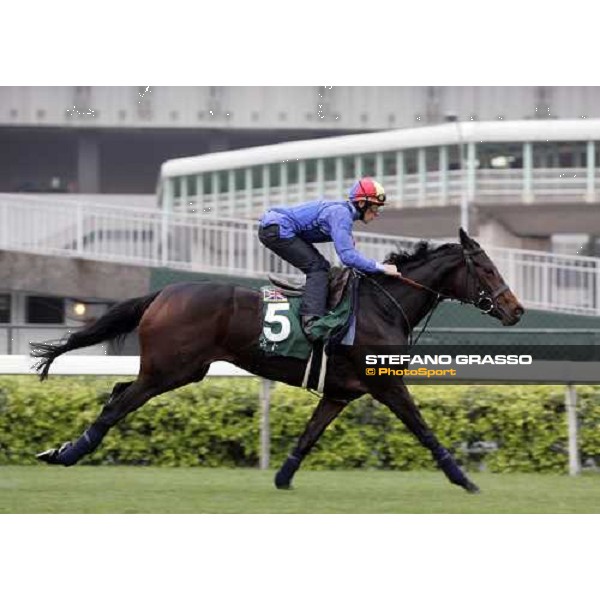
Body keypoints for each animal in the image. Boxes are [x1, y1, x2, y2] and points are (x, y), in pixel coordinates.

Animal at [32, 229, 524, 492]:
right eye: (487, 269)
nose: (516, 310)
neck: (382, 307)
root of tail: (163, 292)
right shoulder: (386, 384)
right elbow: (423, 429)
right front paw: (463, 479)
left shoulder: (340, 393)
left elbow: (308, 436)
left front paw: (282, 479)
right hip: (171, 369)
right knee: (118, 404)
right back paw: (67, 453)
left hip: (173, 370)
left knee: (117, 393)